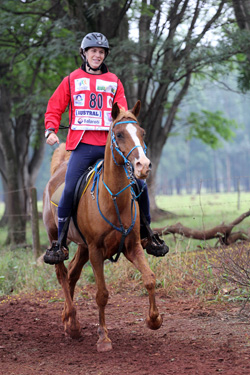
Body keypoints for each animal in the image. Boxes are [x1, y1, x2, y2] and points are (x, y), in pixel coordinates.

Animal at [43, 100, 163, 352]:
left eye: (142, 133)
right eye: (119, 134)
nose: (143, 166)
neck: (114, 198)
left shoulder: (132, 246)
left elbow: (149, 279)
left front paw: (154, 320)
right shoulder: (97, 251)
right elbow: (102, 294)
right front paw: (103, 338)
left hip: (83, 247)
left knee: (72, 275)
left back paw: (69, 322)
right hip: (56, 239)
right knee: (62, 274)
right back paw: (72, 322)